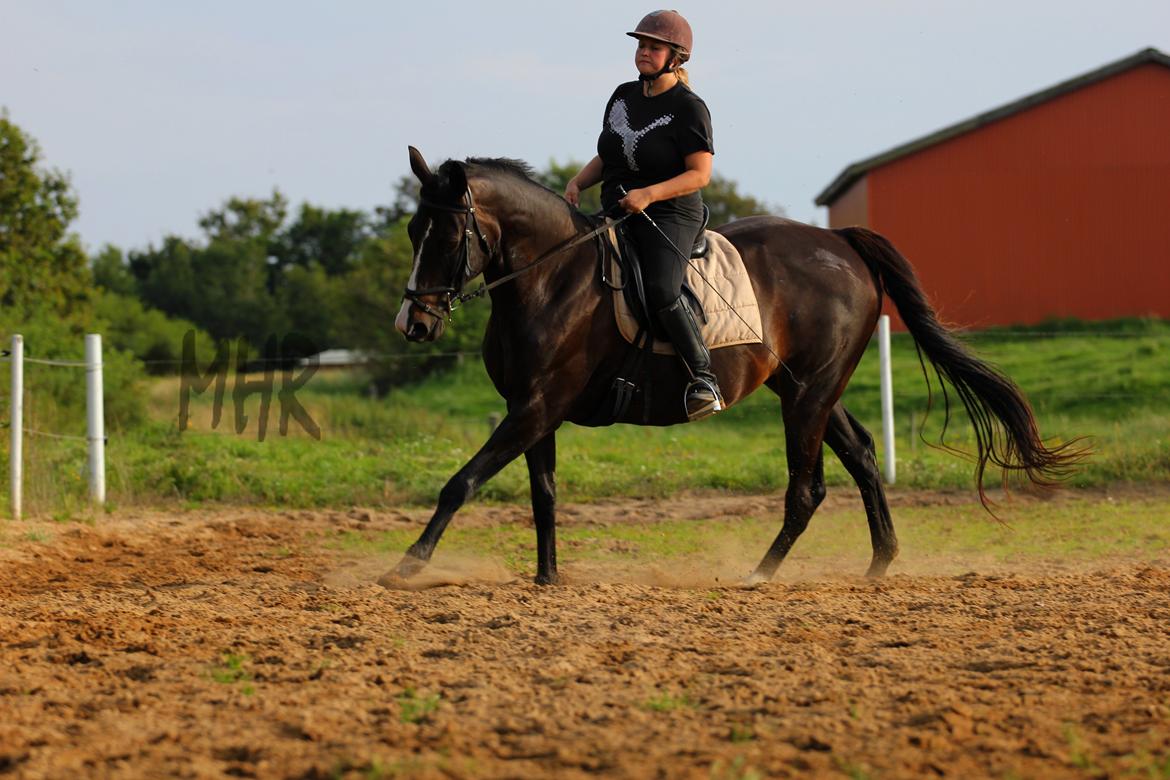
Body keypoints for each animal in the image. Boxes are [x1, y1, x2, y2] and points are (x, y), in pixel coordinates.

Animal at [388, 146, 1081, 584]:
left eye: (445, 236)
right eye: (412, 231)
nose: (413, 325)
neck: (553, 277)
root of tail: (841, 244)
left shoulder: (537, 407)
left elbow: (462, 482)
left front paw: (408, 564)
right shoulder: (533, 410)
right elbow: (543, 494)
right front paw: (547, 578)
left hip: (807, 396)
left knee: (807, 488)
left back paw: (759, 575)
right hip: (808, 390)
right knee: (860, 454)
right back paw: (879, 562)